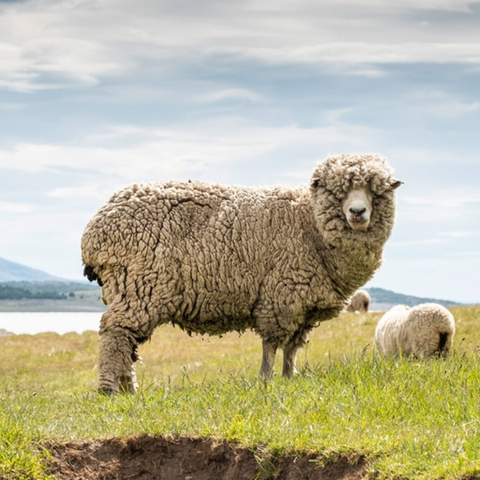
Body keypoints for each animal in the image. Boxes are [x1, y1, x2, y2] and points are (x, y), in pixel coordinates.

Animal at [81, 152, 402, 392]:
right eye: (337, 191)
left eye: (377, 190)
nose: (357, 212)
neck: (308, 221)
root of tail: (96, 227)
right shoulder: (280, 296)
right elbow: (272, 345)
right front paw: (265, 380)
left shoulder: (303, 304)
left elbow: (292, 347)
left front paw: (290, 378)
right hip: (138, 286)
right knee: (115, 333)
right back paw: (111, 390)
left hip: (134, 290)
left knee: (126, 343)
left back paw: (128, 389)